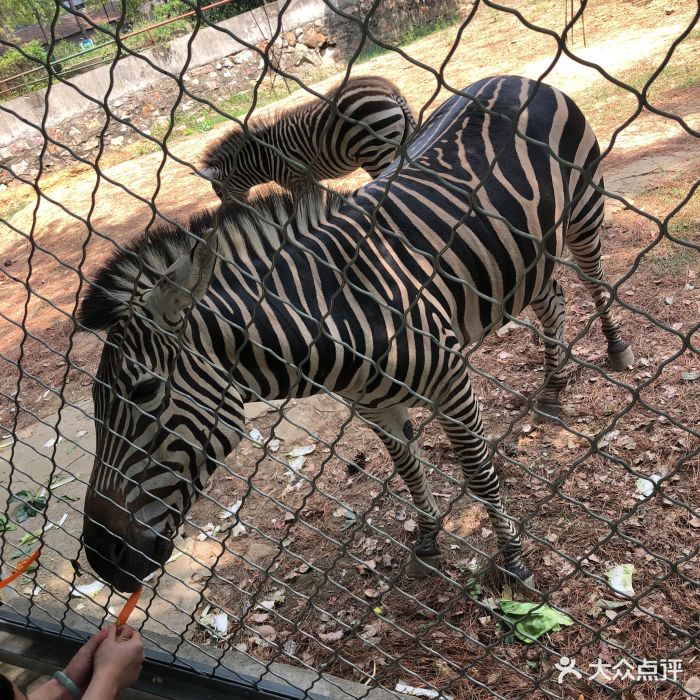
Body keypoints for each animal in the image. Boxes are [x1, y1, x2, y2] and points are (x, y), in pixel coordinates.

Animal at [200, 77, 418, 202]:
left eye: (219, 192)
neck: (264, 159)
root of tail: (388, 91)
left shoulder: (297, 181)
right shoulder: (310, 180)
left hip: (375, 153)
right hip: (402, 140)